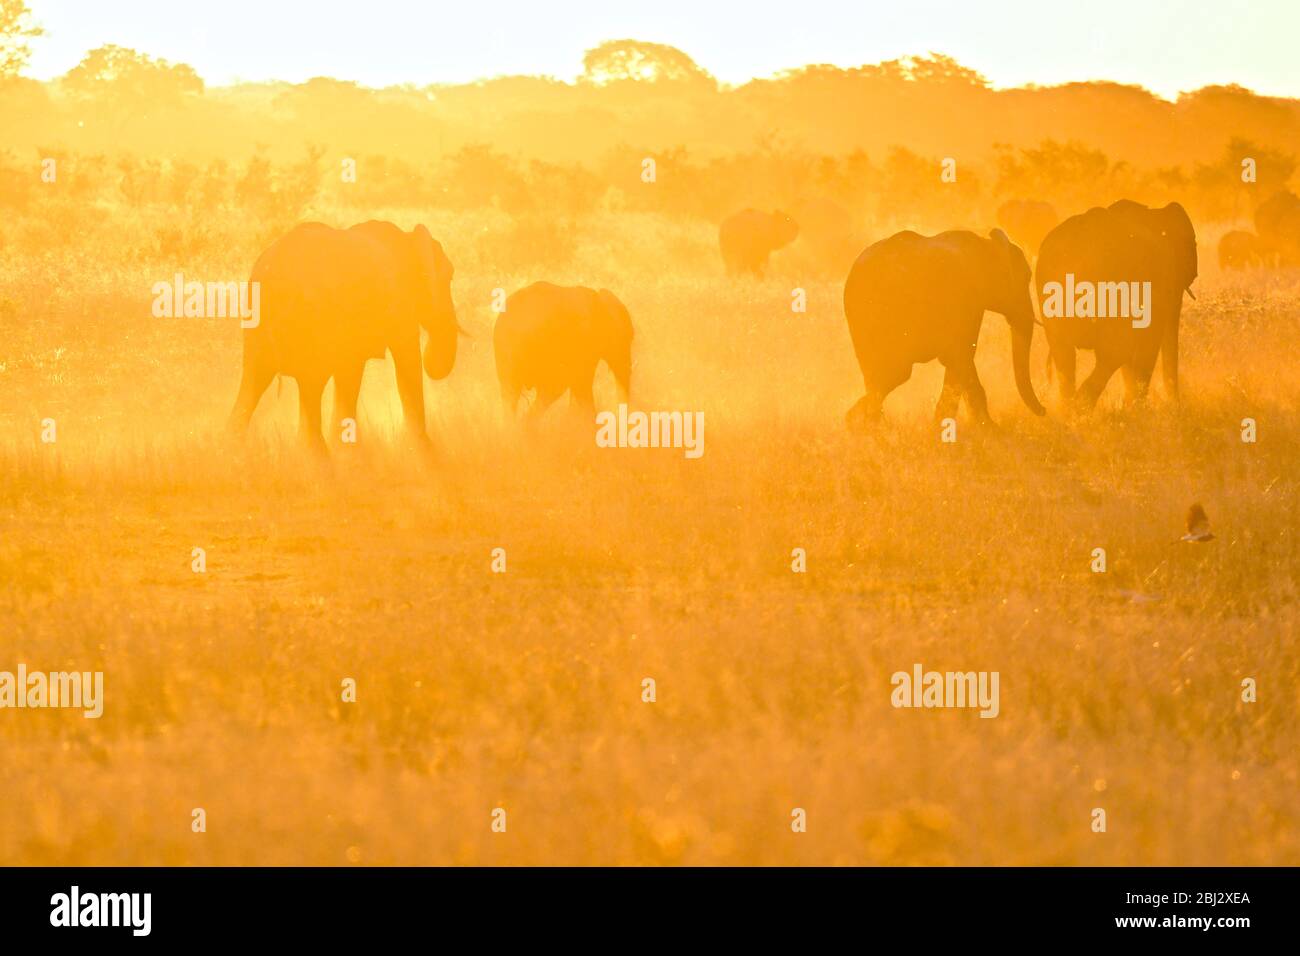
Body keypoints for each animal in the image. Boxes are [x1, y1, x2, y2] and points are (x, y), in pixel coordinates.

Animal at [226, 221, 460, 447]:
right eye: (449, 277)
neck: (407, 237)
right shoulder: (400, 305)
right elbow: (404, 364)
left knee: (253, 384)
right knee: (310, 388)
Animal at [842, 227, 1045, 426]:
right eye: (1026, 277)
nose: (1044, 411)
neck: (984, 243)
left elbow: (957, 361)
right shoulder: (964, 300)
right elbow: (960, 356)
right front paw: (991, 430)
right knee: (897, 372)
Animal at [1034, 200, 1196, 408]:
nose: (1177, 404)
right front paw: (1137, 408)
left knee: (1065, 355)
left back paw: (1072, 409)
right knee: (1112, 352)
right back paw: (1082, 406)